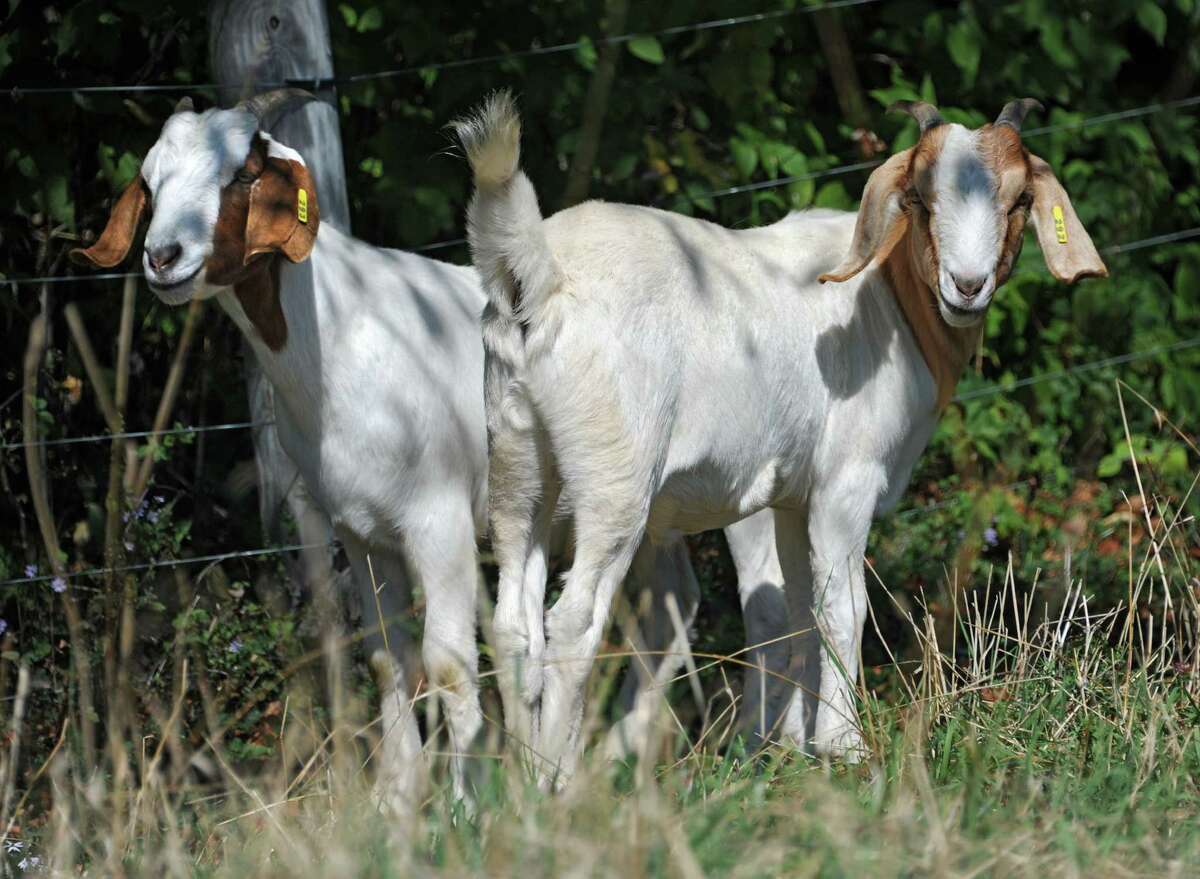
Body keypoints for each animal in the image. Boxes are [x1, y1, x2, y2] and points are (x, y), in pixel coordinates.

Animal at [458, 92, 1104, 778]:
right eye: (919, 197)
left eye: (1019, 198)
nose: (967, 286)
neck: (889, 301)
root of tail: (540, 276)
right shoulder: (846, 484)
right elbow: (841, 610)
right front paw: (845, 747)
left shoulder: (795, 498)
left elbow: (799, 614)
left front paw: (789, 749)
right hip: (615, 475)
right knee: (576, 621)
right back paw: (557, 780)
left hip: (518, 460)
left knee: (513, 623)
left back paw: (521, 781)